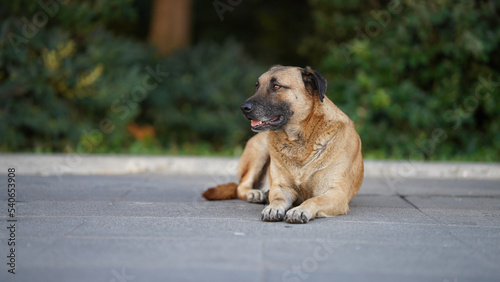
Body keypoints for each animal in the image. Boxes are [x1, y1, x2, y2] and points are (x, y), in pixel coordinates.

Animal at [203, 65, 364, 224]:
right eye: (257, 86)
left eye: (276, 86)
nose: (243, 108)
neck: (300, 140)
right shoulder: (282, 187)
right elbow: (278, 199)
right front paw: (272, 208)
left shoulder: (336, 193)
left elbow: (314, 200)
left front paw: (299, 210)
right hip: (260, 150)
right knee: (241, 186)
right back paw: (255, 194)